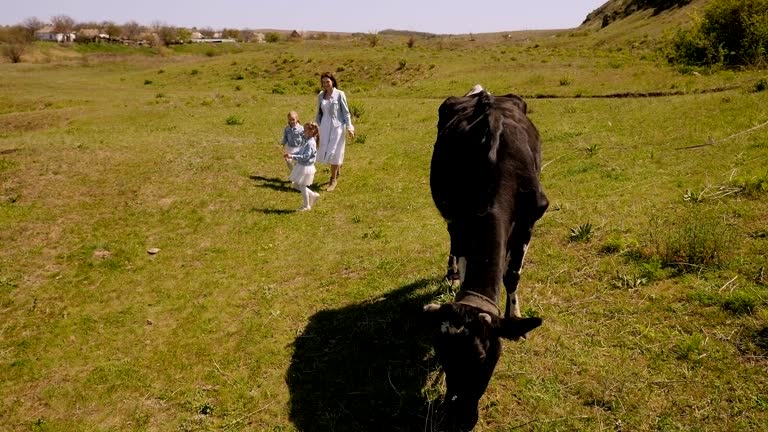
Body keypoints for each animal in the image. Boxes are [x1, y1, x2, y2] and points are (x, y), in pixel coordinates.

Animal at [426, 86, 544, 430]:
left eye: (481, 357)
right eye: (442, 354)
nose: (457, 418)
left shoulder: (530, 218)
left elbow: (512, 275)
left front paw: (515, 316)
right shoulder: (459, 217)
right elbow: (464, 257)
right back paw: (451, 273)